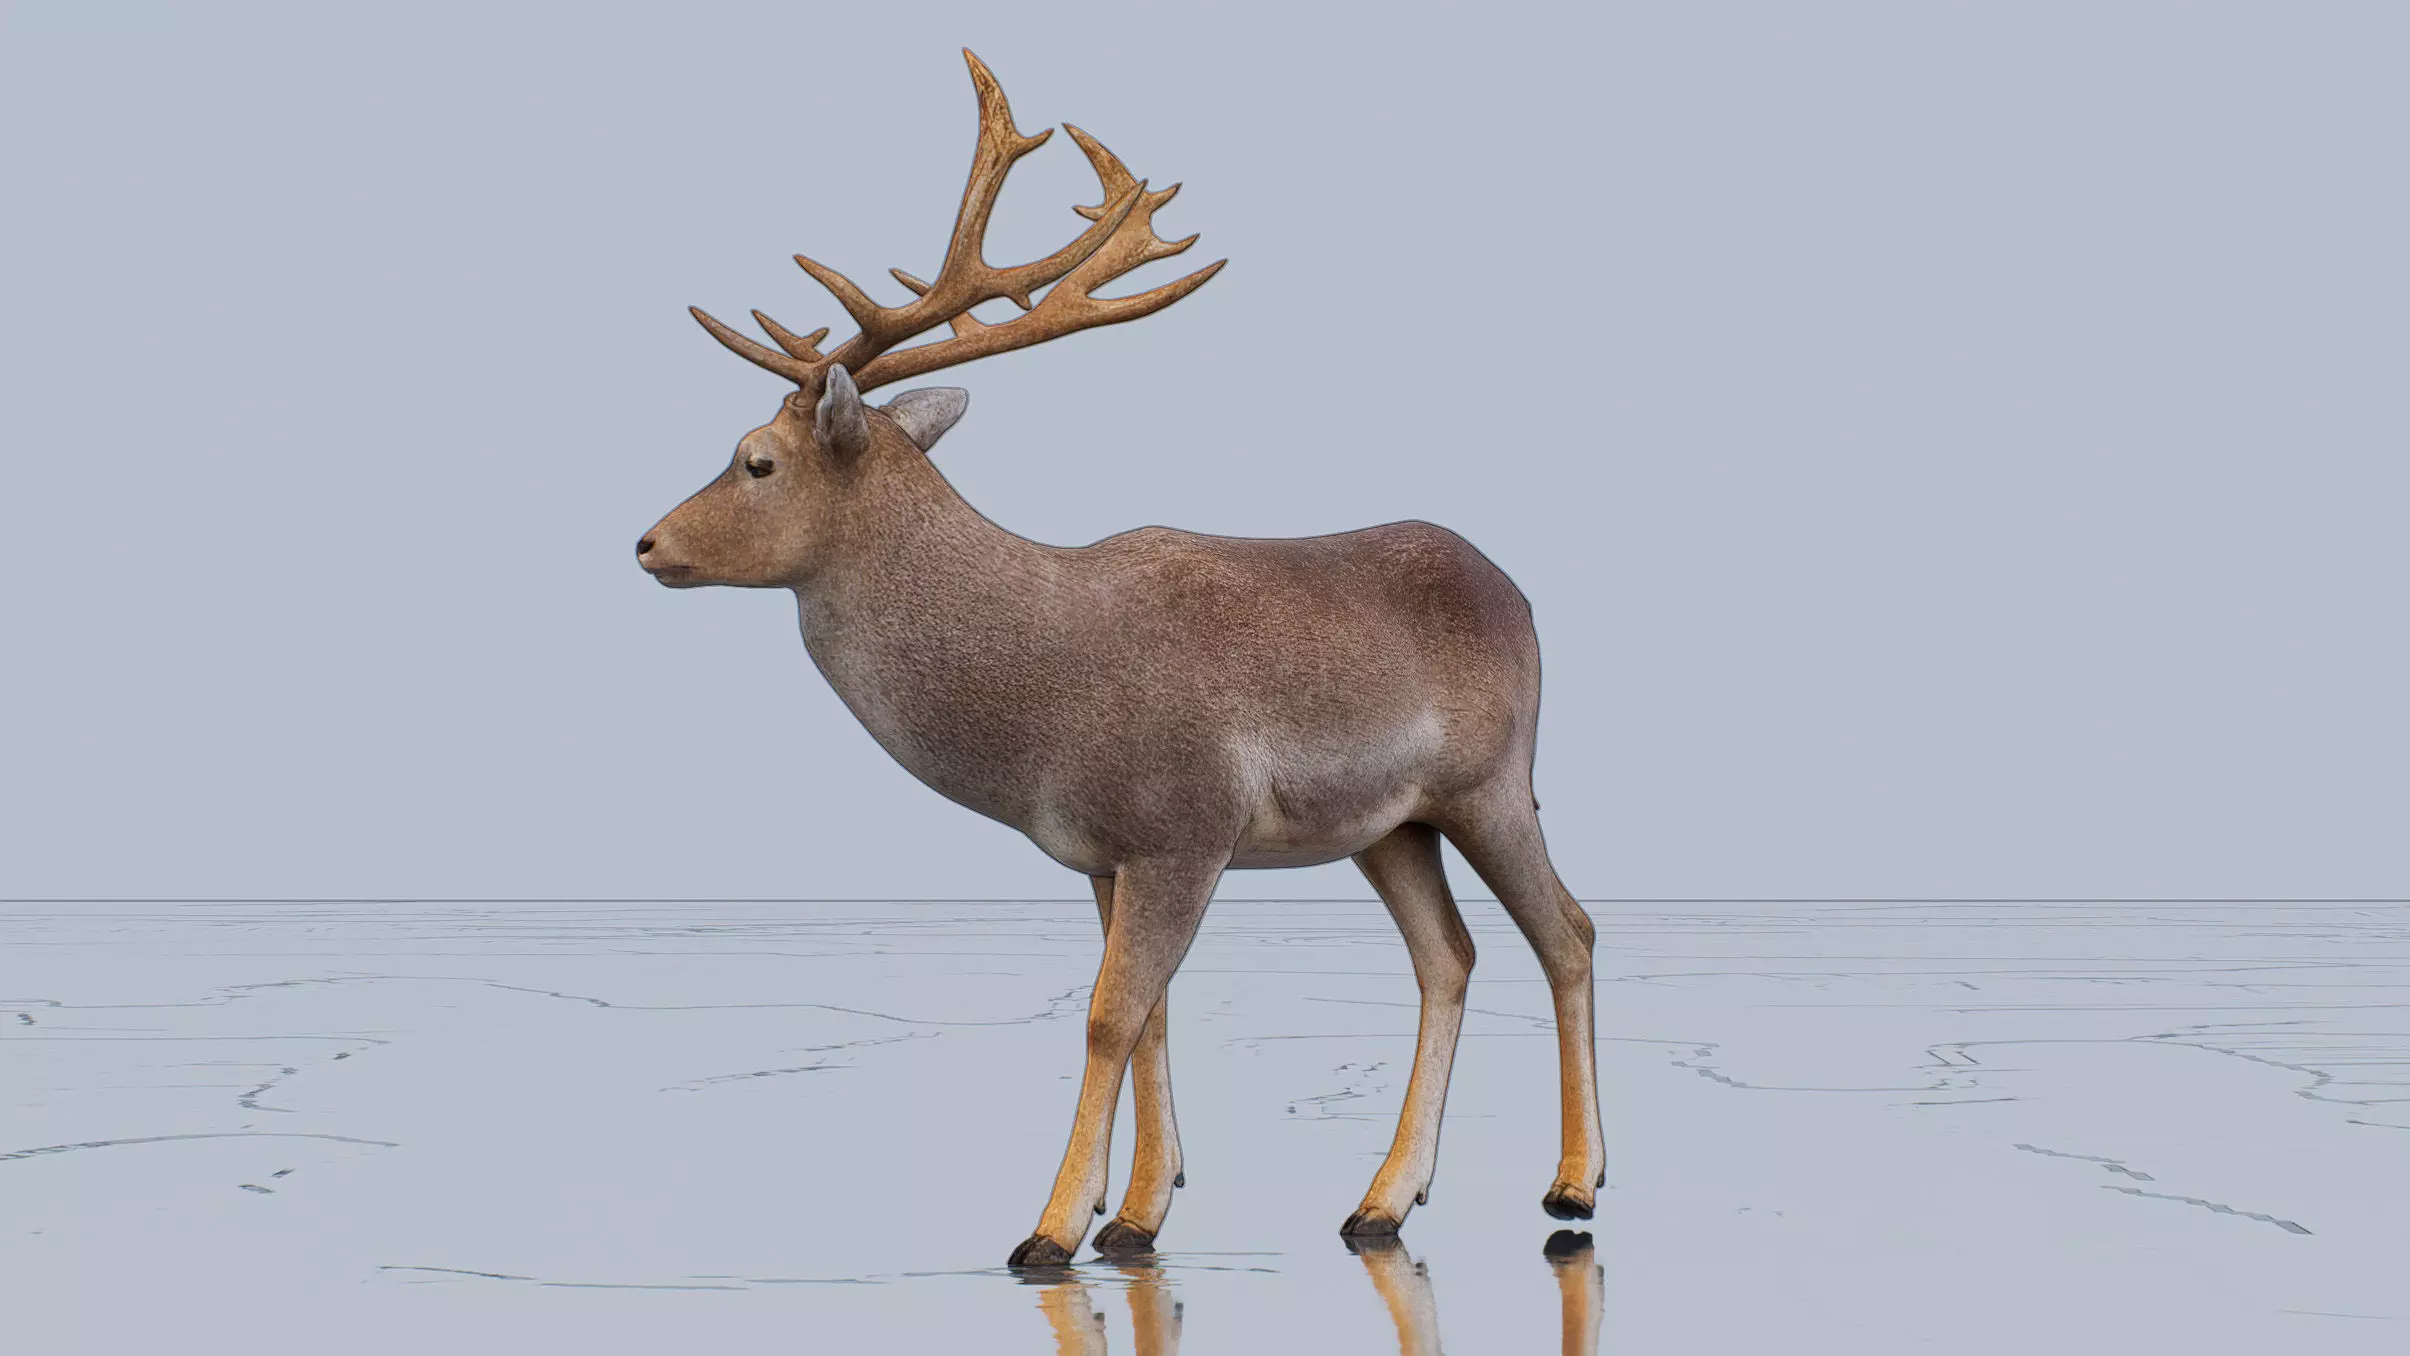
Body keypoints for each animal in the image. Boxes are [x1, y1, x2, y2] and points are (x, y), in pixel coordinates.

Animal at [636, 50, 1603, 1267]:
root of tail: (1517, 594)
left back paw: (1572, 1190)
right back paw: (1383, 1201)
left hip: (1493, 779)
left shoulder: (1185, 821)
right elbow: (1148, 1015)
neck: (1040, 706)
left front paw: (1050, 1227)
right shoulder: (1109, 852)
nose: (645, 542)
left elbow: (1109, 1016)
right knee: (1450, 954)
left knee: (1567, 932)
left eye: (755, 460)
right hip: (1392, 823)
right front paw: (1138, 1212)